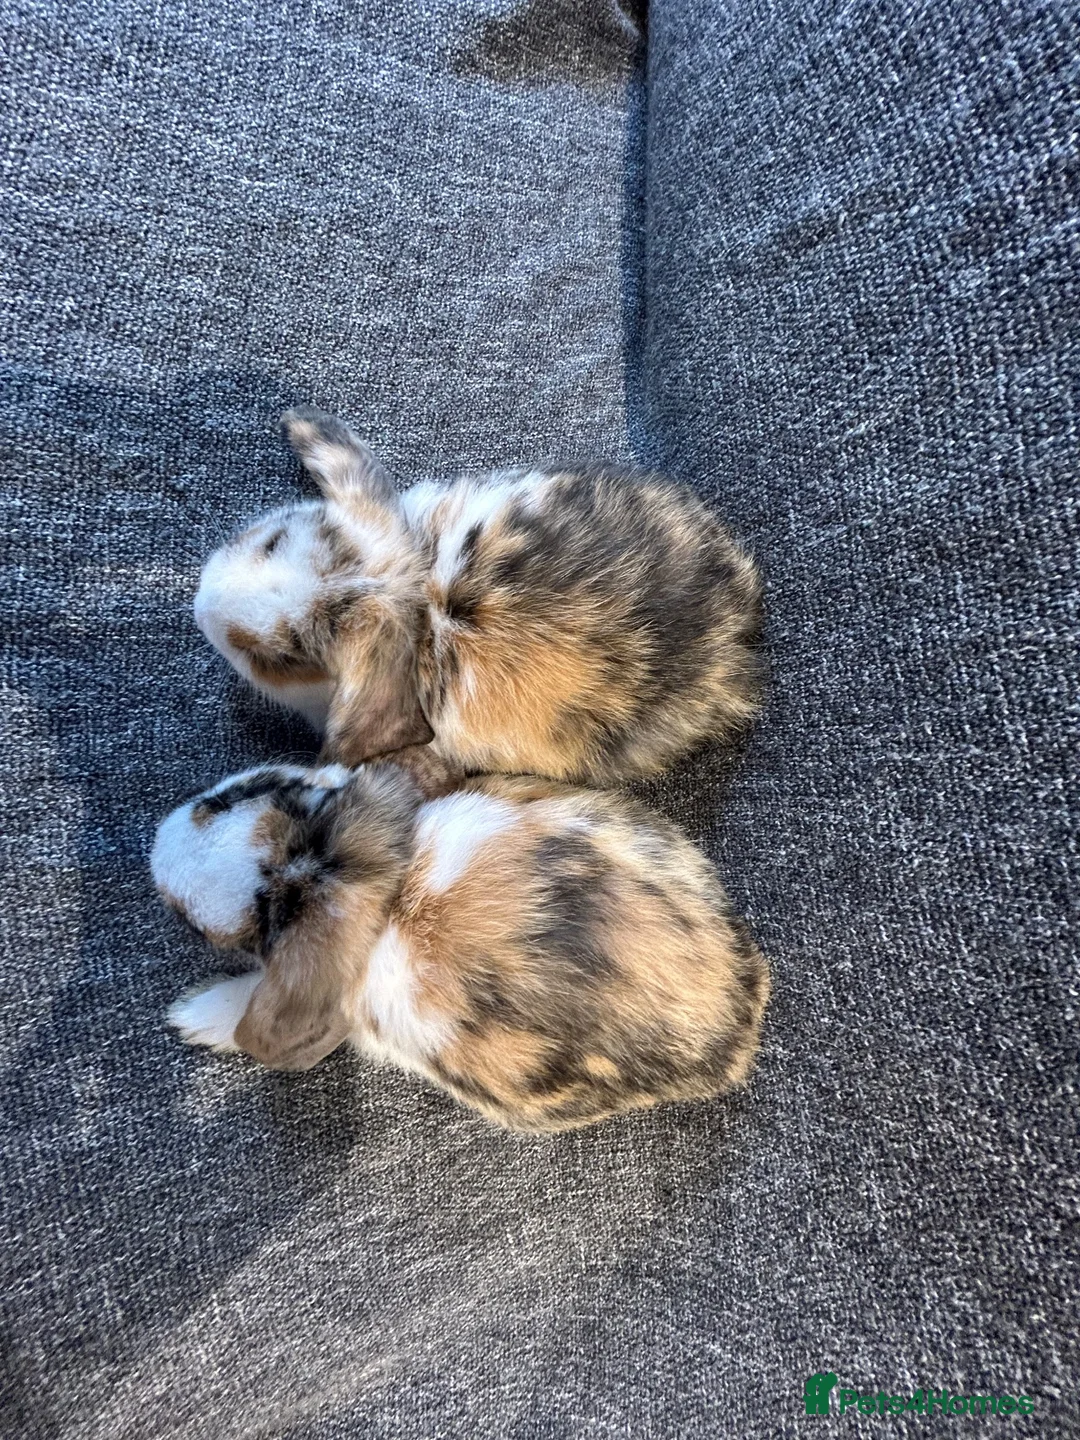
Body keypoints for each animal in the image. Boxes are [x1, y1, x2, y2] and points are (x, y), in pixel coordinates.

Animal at [153, 762, 770, 1132]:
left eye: (200, 928)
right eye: (243, 790)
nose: (156, 844)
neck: (390, 903)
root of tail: (740, 1020)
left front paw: (192, 1017)